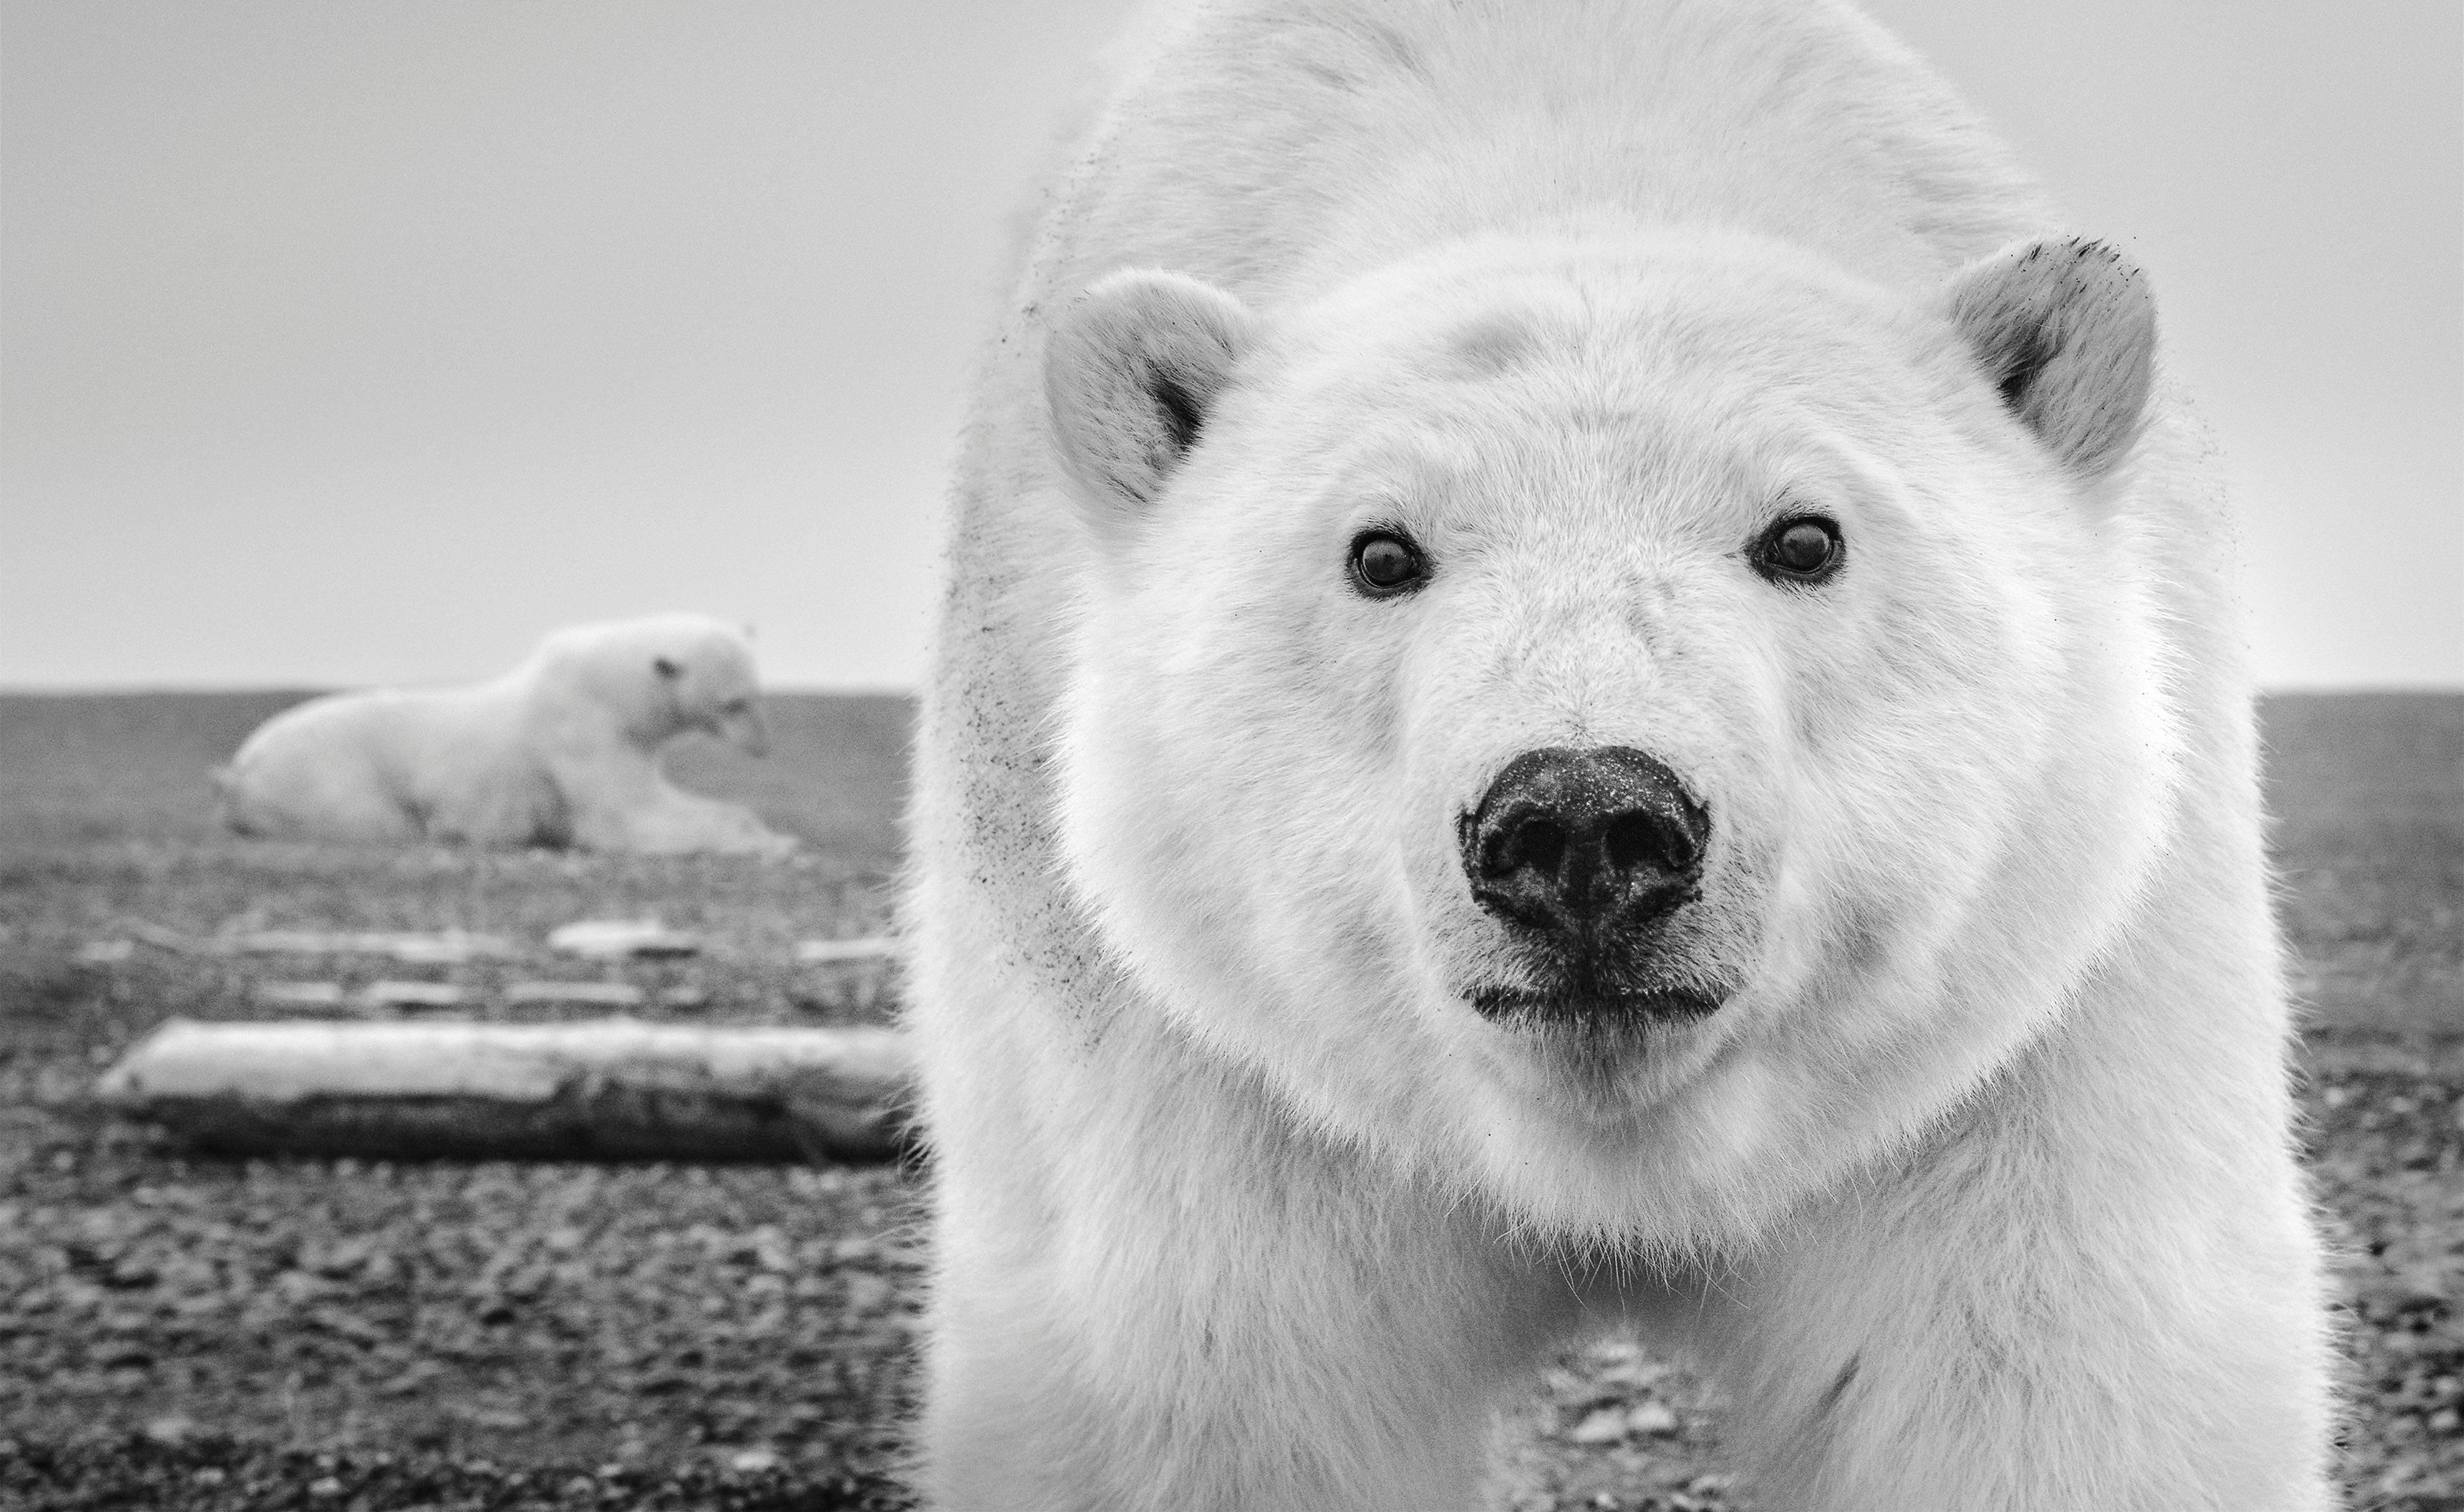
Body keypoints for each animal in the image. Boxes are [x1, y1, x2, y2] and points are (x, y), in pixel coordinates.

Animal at [220, 613, 793, 857]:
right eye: (733, 702)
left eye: (758, 692)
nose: (765, 744)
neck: (610, 687)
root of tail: (240, 767)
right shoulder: (580, 730)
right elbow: (623, 817)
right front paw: (763, 841)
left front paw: (772, 834)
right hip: (324, 777)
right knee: (374, 819)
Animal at [906, 3, 2326, 1512]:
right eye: (1380, 551)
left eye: (1806, 535)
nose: (1584, 822)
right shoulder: (1201, 1071)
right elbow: (1213, 1398)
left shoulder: (2031, 1045)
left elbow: (2054, 1379)